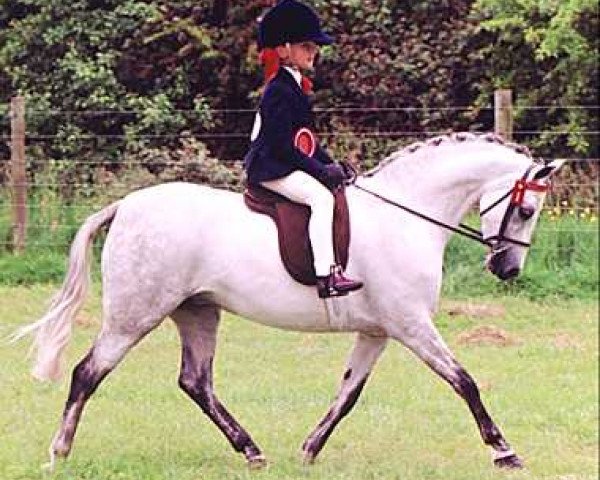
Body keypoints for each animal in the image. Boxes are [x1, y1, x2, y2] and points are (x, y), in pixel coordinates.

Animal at [16, 131, 564, 468]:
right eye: (526, 210)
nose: (508, 270)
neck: (405, 217)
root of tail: (125, 206)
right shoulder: (410, 325)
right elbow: (464, 382)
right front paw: (504, 451)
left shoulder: (378, 331)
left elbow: (348, 394)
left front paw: (309, 448)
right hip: (135, 315)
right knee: (88, 372)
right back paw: (59, 452)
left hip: (198, 312)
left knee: (196, 382)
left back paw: (252, 451)